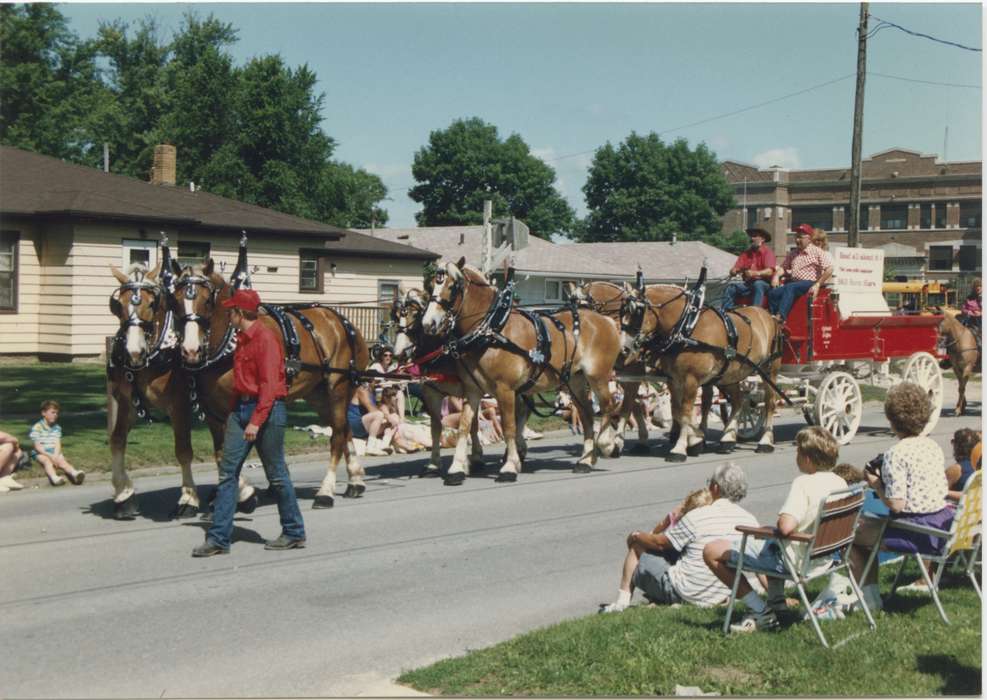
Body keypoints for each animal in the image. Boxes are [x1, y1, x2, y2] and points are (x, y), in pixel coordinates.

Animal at [172, 260, 368, 506]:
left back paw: (326, 491)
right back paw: (355, 481)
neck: (230, 342)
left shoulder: (235, 409)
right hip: (319, 395)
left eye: (207, 300)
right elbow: (221, 453)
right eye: (175, 300)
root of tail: (342, 321)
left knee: (338, 436)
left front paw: (244, 493)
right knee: (345, 429)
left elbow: (232, 453)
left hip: (338, 388)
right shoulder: (212, 411)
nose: (190, 350)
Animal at [420, 260, 620, 484]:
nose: (428, 323)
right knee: (586, 413)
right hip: (575, 380)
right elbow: (464, 426)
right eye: (430, 285)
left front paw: (509, 466)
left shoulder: (505, 389)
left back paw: (606, 444)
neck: (492, 329)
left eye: (453, 286)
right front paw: (456, 468)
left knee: (608, 406)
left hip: (598, 376)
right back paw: (585, 460)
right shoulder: (472, 390)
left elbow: (509, 426)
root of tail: (605, 320)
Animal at [620, 274, 784, 464]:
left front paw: (680, 448)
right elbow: (678, 411)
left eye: (637, 311)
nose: (624, 349)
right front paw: (697, 439)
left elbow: (685, 412)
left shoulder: (691, 379)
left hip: (769, 370)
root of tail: (769, 315)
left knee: (770, 403)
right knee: (739, 401)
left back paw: (765, 442)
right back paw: (727, 440)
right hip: (730, 374)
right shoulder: (674, 379)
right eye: (621, 310)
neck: (687, 326)